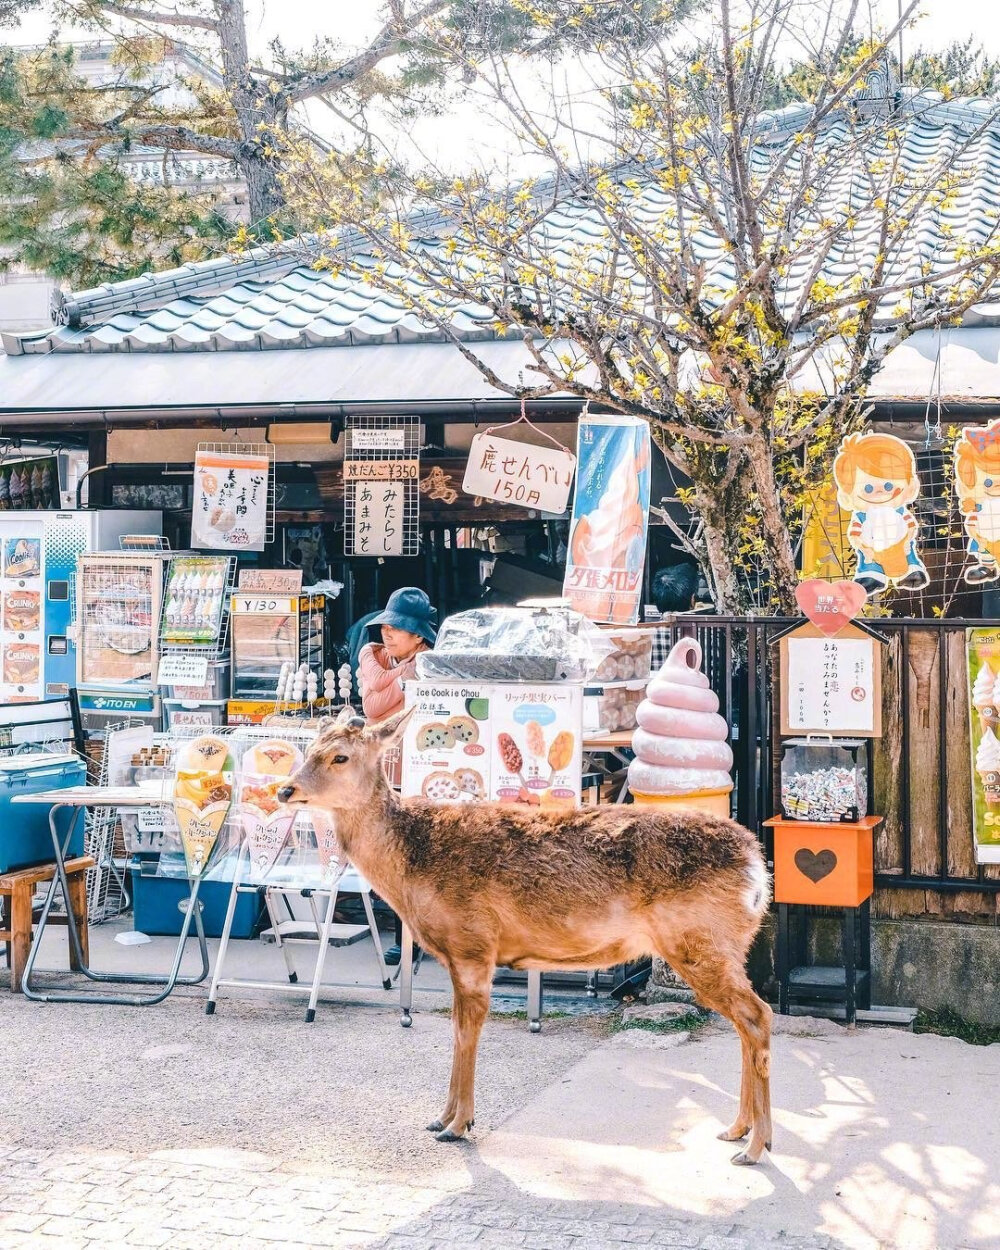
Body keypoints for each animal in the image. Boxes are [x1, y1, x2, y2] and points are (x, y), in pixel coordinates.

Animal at [278, 710, 775, 1165]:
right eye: (311, 748)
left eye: (340, 756)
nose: (284, 790)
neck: (409, 874)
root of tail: (757, 867)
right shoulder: (456, 956)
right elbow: (455, 1029)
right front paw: (441, 1118)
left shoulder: (473, 944)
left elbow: (467, 1031)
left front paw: (459, 1125)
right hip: (725, 945)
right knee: (746, 1020)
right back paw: (736, 1129)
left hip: (699, 940)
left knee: (756, 1015)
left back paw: (755, 1146)